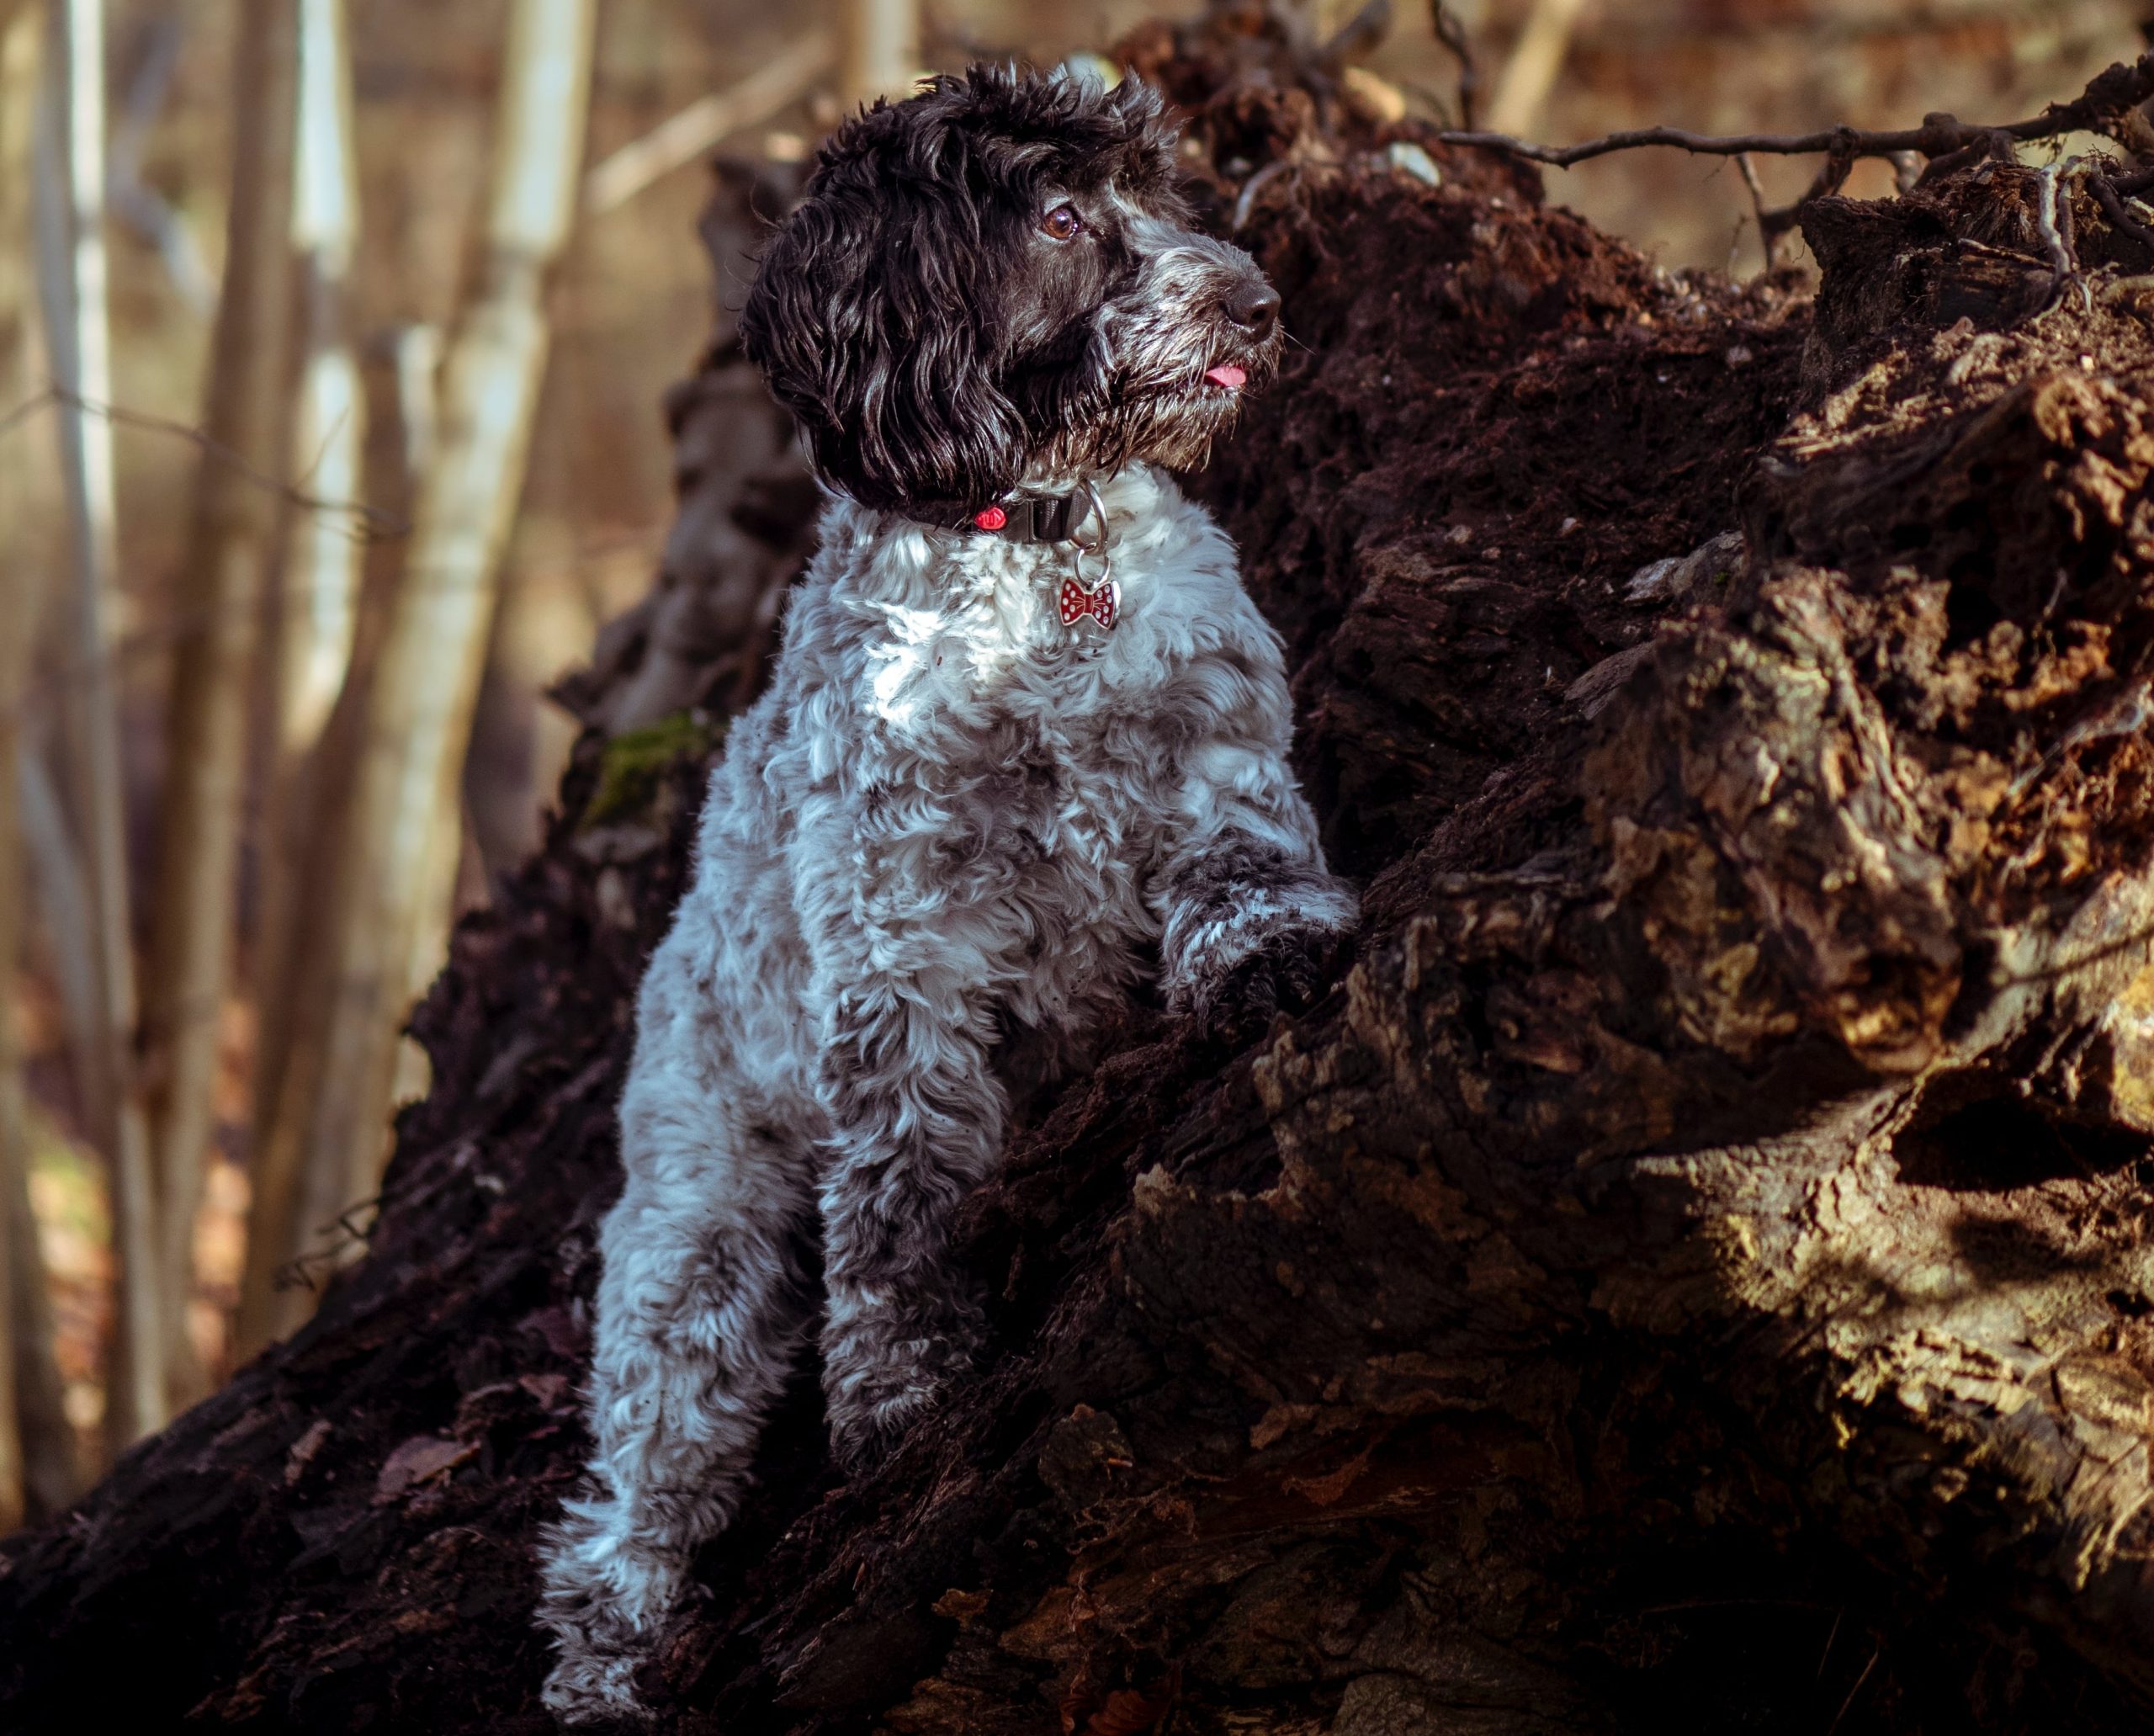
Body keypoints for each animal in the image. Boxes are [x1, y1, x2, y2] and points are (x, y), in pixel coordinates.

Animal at [533, 61, 1344, 1723]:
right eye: (1059, 217)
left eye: (1162, 189)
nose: (1256, 298)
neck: (1040, 557)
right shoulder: (897, 935)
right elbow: (904, 1189)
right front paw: (903, 1384)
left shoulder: (1211, 746)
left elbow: (1246, 861)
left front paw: (1272, 957)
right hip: (693, 1251)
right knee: (625, 1503)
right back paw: (612, 1653)